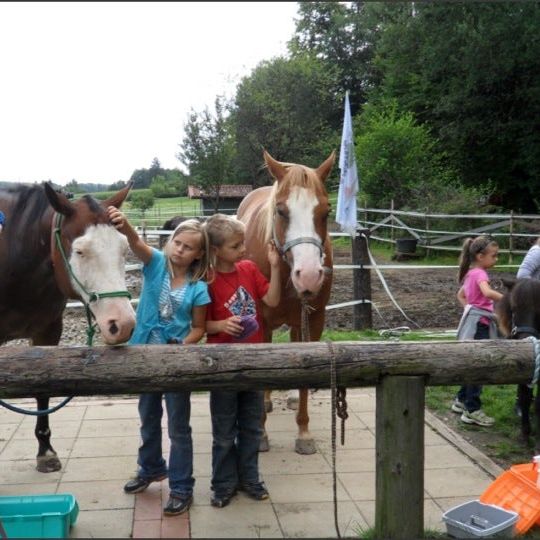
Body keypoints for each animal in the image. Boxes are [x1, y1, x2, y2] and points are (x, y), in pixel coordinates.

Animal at [0, 184, 135, 470]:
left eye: (123, 249)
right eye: (80, 251)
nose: (123, 324)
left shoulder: (47, 334)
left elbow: (42, 390)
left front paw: (46, 451)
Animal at [238, 150, 336, 454]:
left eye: (326, 212)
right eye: (281, 211)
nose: (309, 275)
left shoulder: (314, 322)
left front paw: (303, 433)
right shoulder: (259, 323)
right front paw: (260, 435)